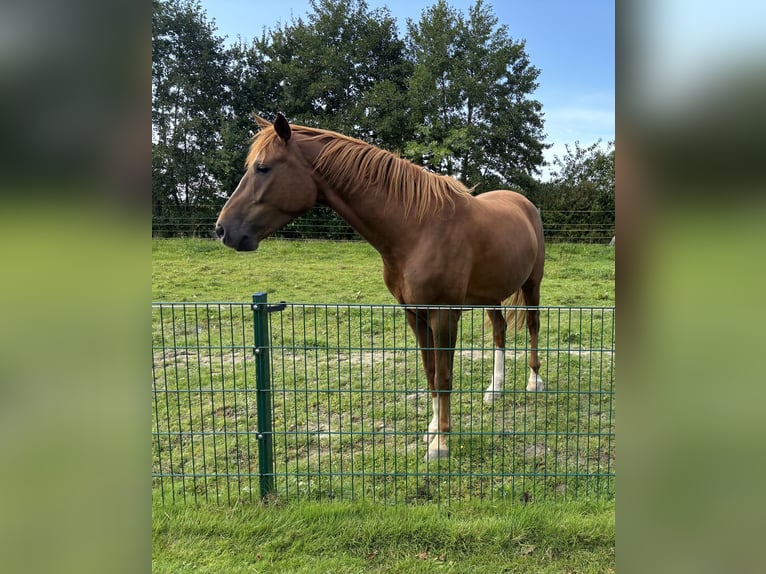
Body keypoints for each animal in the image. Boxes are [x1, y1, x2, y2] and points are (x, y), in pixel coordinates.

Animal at [216, 113, 544, 464]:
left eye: (262, 167)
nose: (222, 230)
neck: (420, 229)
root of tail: (523, 203)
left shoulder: (444, 314)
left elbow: (444, 377)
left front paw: (440, 443)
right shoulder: (414, 313)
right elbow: (430, 372)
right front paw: (432, 428)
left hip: (532, 285)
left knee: (533, 326)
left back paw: (534, 381)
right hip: (491, 294)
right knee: (499, 331)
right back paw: (494, 390)